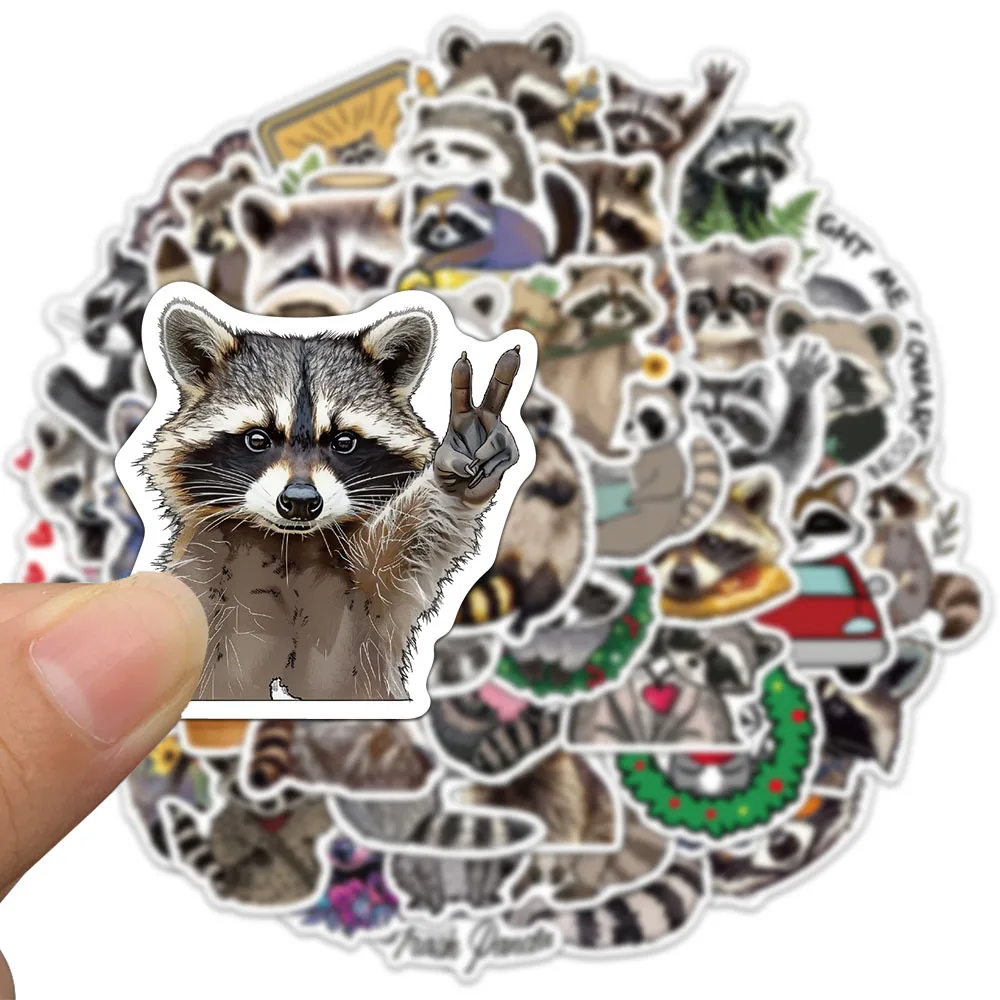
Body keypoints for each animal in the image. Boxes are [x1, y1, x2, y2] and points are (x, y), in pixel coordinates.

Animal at [146, 300, 522, 700]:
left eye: (343, 442)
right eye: (258, 439)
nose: (299, 501)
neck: (289, 543)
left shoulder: (369, 589)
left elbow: (408, 537)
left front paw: (452, 479)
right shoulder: (207, 557)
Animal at [456, 394, 588, 633]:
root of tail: (518, 574)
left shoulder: (555, 460)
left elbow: (567, 491)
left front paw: (547, 491)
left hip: (555, 560)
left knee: (543, 589)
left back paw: (528, 613)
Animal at [597, 373, 725, 559]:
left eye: (648, 416)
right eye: (628, 414)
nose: (628, 425)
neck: (652, 447)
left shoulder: (667, 461)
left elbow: (665, 484)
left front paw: (637, 495)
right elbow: (624, 471)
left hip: (647, 524)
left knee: (615, 534)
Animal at [605, 61, 737, 207]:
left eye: (648, 121)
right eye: (627, 115)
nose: (632, 134)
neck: (639, 146)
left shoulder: (671, 145)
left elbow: (695, 122)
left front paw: (713, 93)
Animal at [863, 455, 982, 641]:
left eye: (894, 494)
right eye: (875, 493)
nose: (873, 512)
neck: (889, 525)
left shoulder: (900, 544)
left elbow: (895, 568)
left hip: (910, 595)